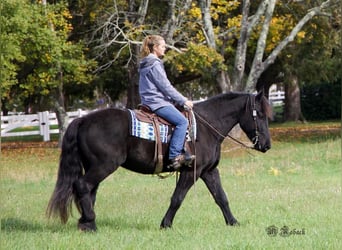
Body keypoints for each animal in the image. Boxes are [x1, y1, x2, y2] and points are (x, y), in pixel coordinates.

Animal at [46, 91, 272, 230]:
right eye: (260, 114)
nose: (267, 145)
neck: (206, 127)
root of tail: (83, 119)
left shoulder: (208, 171)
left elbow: (221, 197)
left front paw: (233, 222)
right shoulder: (190, 172)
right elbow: (177, 198)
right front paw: (166, 224)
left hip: (94, 167)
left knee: (88, 192)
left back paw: (86, 223)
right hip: (103, 166)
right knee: (83, 186)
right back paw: (90, 224)